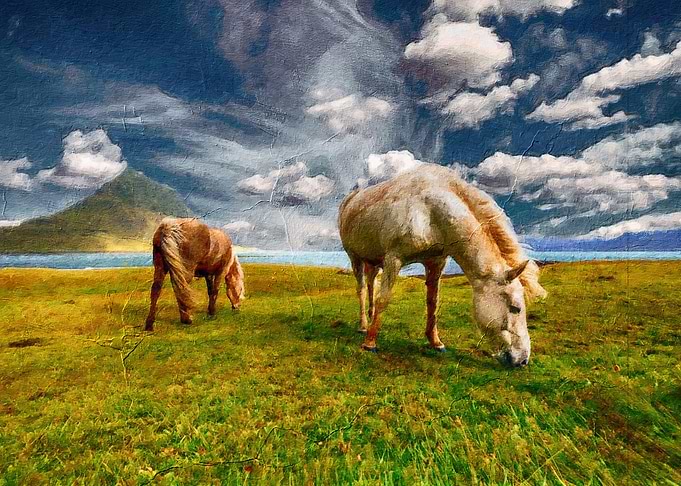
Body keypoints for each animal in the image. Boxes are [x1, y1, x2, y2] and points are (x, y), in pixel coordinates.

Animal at [338, 163, 547, 367]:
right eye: (515, 308)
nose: (522, 360)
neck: (430, 211)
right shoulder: (393, 259)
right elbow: (384, 299)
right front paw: (370, 343)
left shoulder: (436, 262)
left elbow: (433, 303)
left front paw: (435, 342)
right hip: (355, 257)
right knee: (362, 289)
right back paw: (364, 326)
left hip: (373, 261)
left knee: (371, 285)